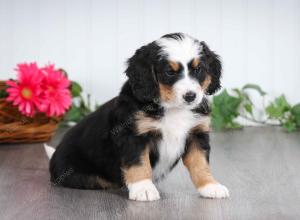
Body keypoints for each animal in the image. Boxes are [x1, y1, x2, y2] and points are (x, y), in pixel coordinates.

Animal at [45, 32, 230, 201]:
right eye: (170, 72)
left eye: (198, 70)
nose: (190, 96)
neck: (173, 108)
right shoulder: (132, 135)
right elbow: (139, 163)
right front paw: (143, 188)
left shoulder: (196, 134)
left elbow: (201, 164)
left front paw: (210, 186)